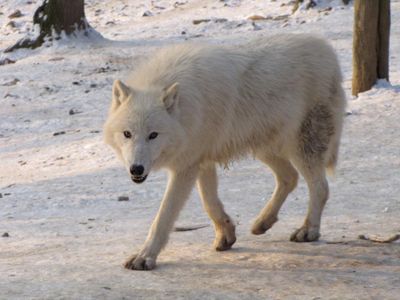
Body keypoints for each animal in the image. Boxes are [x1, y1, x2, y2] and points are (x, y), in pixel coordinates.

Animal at [104, 34, 346, 270]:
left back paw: (308, 230)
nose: (136, 169)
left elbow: (164, 217)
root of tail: (327, 49)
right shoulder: (200, 161)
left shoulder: (186, 167)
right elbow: (209, 202)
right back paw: (262, 222)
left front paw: (145, 257)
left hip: (301, 148)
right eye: (127, 134)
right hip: (264, 148)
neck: (186, 111)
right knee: (290, 177)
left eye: (153, 135)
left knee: (320, 187)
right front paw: (226, 235)